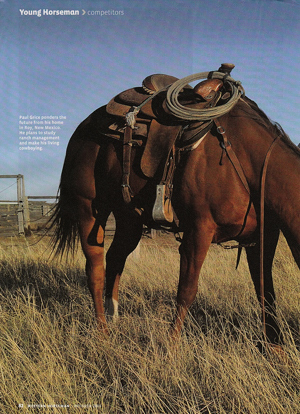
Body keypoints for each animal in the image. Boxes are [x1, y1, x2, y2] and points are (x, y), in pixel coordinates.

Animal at [49, 69, 300, 348]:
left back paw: (114, 319)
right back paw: (102, 333)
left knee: (115, 259)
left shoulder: (261, 238)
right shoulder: (198, 232)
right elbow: (186, 292)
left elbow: (266, 292)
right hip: (90, 211)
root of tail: (82, 129)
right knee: (95, 270)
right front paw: (171, 347)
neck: (244, 157)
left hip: (129, 219)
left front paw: (275, 348)